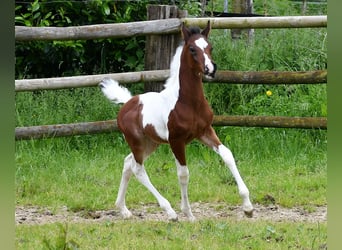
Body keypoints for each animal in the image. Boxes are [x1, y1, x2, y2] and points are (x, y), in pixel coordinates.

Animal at [99, 21, 254, 221]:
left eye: (210, 47)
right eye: (192, 49)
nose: (210, 69)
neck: (188, 102)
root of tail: (127, 103)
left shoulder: (205, 131)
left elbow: (227, 155)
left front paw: (248, 207)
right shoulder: (176, 141)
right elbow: (183, 174)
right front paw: (188, 213)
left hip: (151, 143)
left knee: (128, 163)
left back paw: (123, 209)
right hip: (137, 142)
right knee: (138, 169)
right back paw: (170, 212)